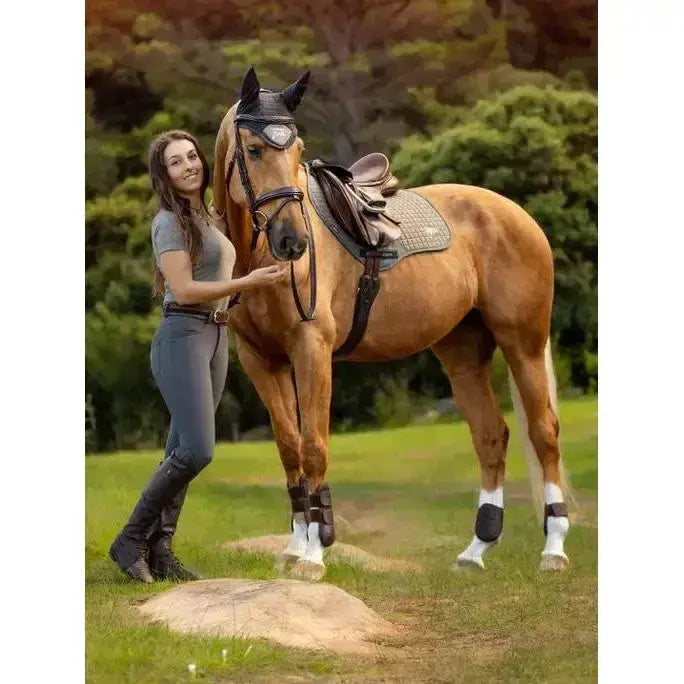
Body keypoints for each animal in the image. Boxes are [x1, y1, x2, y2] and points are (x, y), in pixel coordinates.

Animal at [212, 66, 572, 581]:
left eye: (298, 150)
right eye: (255, 149)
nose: (293, 241)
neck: (258, 256)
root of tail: (518, 214)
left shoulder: (311, 350)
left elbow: (314, 446)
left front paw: (314, 556)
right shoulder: (262, 361)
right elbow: (289, 448)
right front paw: (295, 547)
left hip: (522, 342)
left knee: (543, 432)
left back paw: (554, 550)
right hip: (462, 354)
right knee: (491, 436)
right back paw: (475, 550)